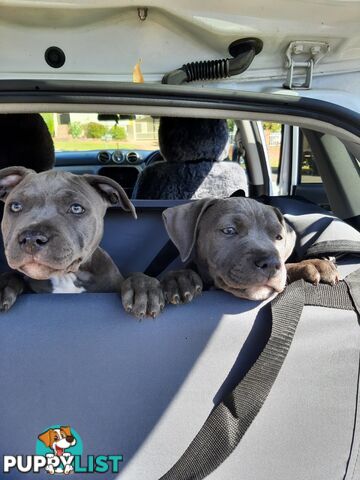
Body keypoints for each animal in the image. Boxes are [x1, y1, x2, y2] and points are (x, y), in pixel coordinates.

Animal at [0, 166, 165, 318]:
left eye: (76, 208)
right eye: (15, 206)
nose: (31, 238)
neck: (66, 278)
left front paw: (143, 288)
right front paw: (4, 284)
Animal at [160, 196, 338, 302]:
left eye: (279, 237)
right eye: (229, 230)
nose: (271, 264)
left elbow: (287, 267)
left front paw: (315, 264)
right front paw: (179, 279)